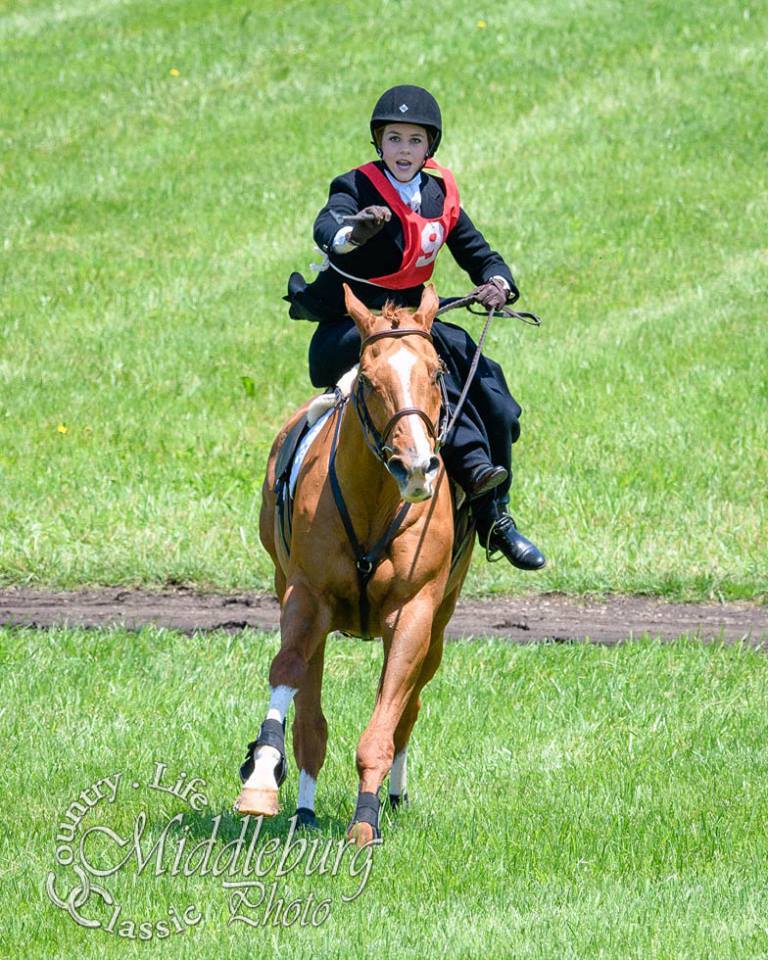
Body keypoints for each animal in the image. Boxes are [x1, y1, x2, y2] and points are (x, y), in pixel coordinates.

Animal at [234, 282, 474, 844]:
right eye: (368, 379)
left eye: (436, 372)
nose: (416, 467)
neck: (373, 503)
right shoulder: (304, 597)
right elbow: (288, 673)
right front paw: (262, 774)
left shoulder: (414, 614)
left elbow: (385, 723)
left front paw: (366, 821)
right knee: (311, 714)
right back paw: (304, 808)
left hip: (440, 618)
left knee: (410, 705)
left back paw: (393, 796)